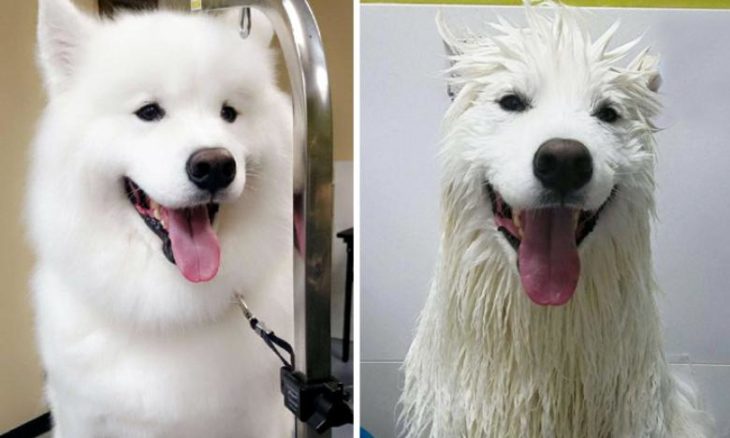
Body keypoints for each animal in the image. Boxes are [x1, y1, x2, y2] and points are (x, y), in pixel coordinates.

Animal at [27, 1, 296, 436]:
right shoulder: (80, 414)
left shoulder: (262, 415)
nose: (215, 166)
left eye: (229, 113)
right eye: (149, 112)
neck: (167, 308)